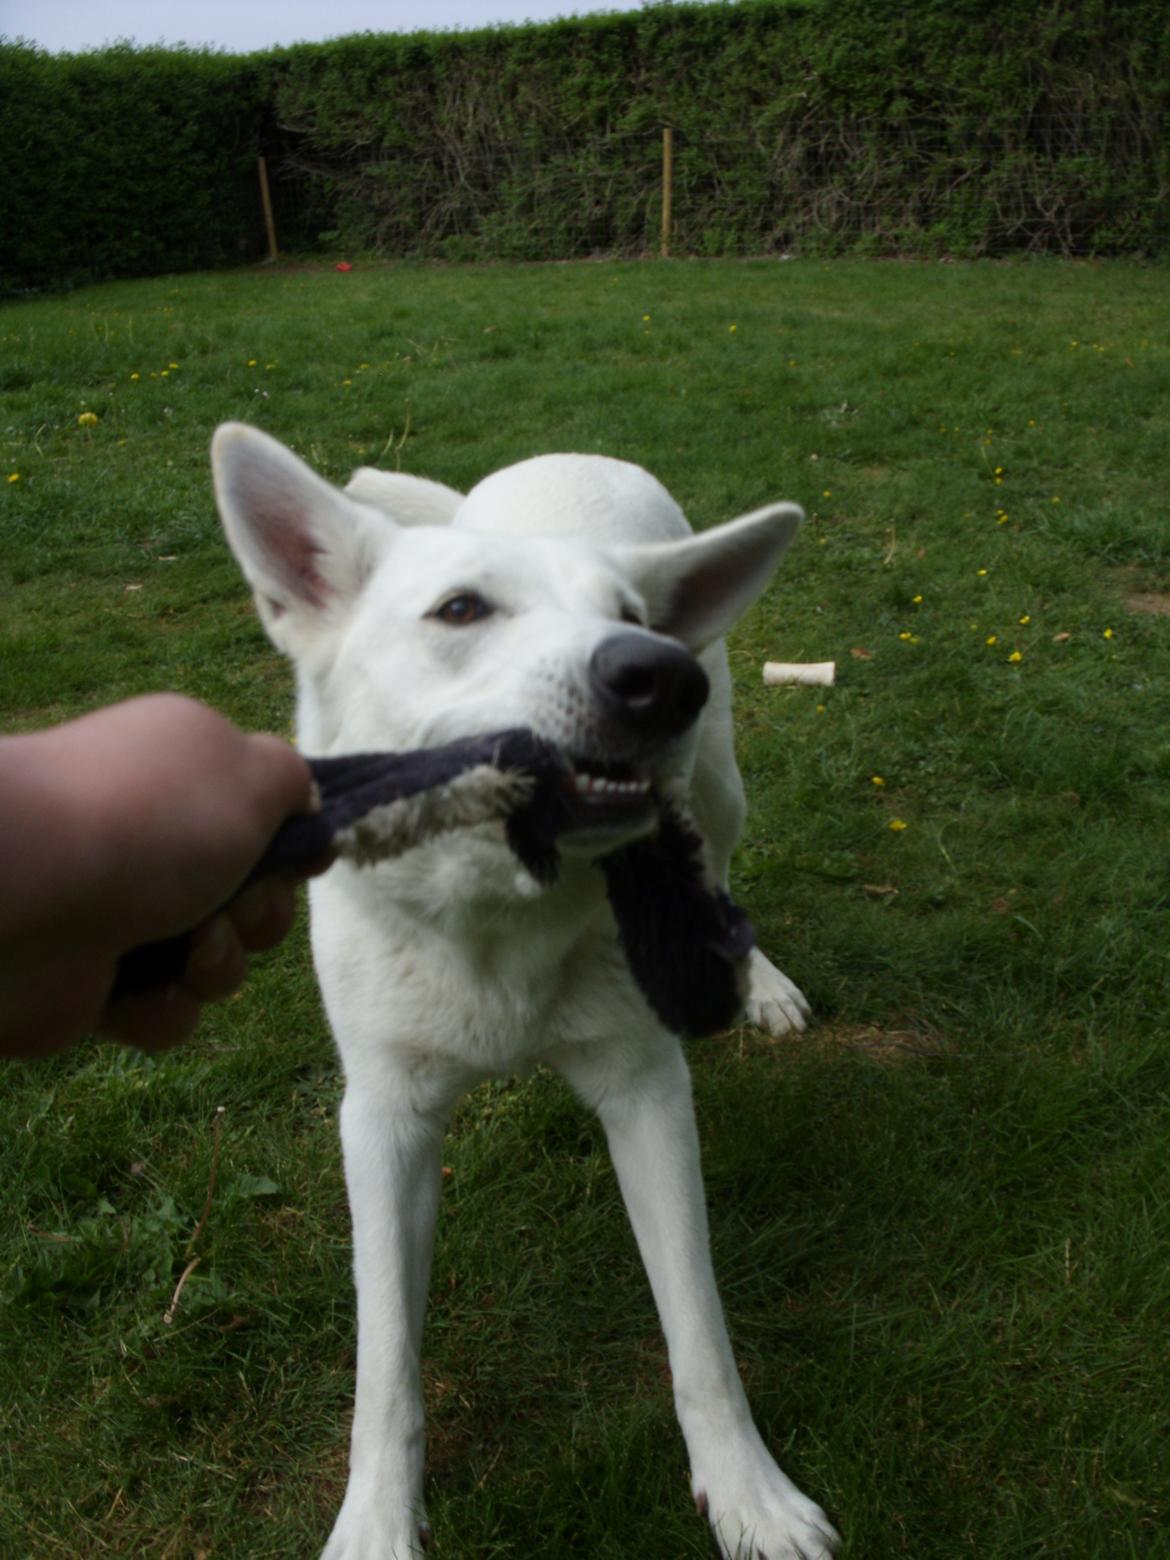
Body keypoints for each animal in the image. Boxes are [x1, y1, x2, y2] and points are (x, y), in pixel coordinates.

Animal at [209, 427, 836, 1560]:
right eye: (460, 610)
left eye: (630, 615)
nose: (659, 672)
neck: (496, 922)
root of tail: (569, 452)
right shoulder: (382, 1120)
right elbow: (385, 1362)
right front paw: (376, 1521)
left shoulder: (647, 1095)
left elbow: (699, 1331)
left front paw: (749, 1494)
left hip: (717, 786)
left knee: (723, 875)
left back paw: (756, 980)